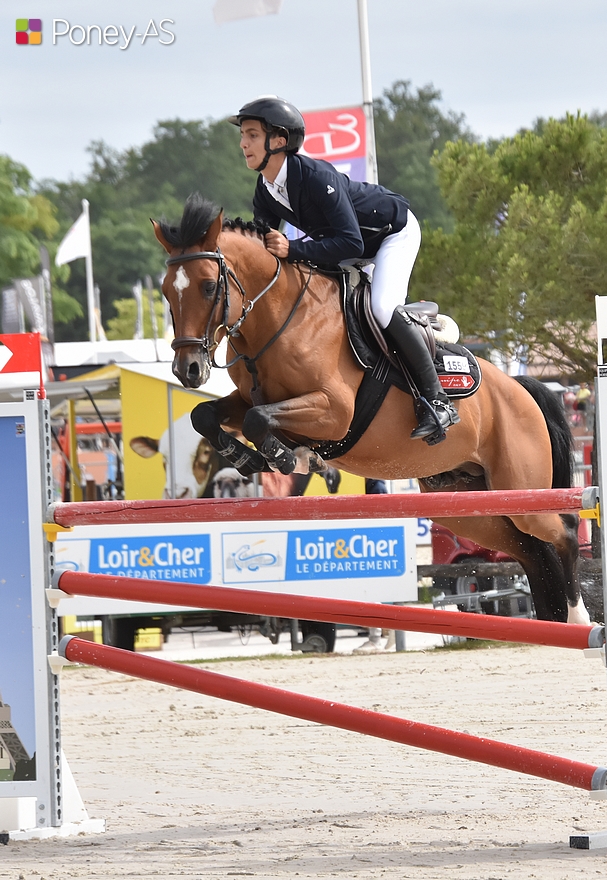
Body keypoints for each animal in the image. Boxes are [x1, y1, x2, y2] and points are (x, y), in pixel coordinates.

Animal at [152, 198, 588, 624]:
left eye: (209, 286)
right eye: (166, 292)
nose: (187, 370)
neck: (279, 319)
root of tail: (522, 389)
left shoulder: (334, 411)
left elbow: (258, 420)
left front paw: (286, 457)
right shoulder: (249, 398)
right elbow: (209, 415)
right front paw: (248, 457)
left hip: (520, 485)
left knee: (563, 531)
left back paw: (580, 620)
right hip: (468, 507)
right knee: (531, 550)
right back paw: (553, 622)